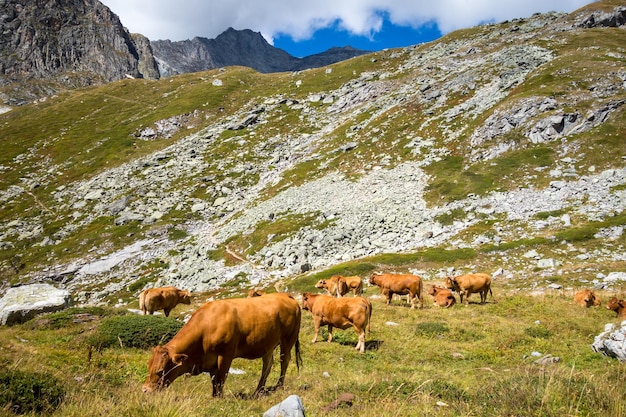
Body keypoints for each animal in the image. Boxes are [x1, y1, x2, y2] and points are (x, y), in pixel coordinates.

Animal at [141, 290, 300, 394]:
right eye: (148, 366)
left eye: (160, 371)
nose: (145, 390)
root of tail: (285, 295)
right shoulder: (210, 361)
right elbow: (214, 381)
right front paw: (214, 396)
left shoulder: (225, 355)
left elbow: (221, 379)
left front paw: (219, 398)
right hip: (267, 344)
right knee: (267, 365)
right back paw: (258, 390)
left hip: (288, 339)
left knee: (284, 361)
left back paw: (278, 386)